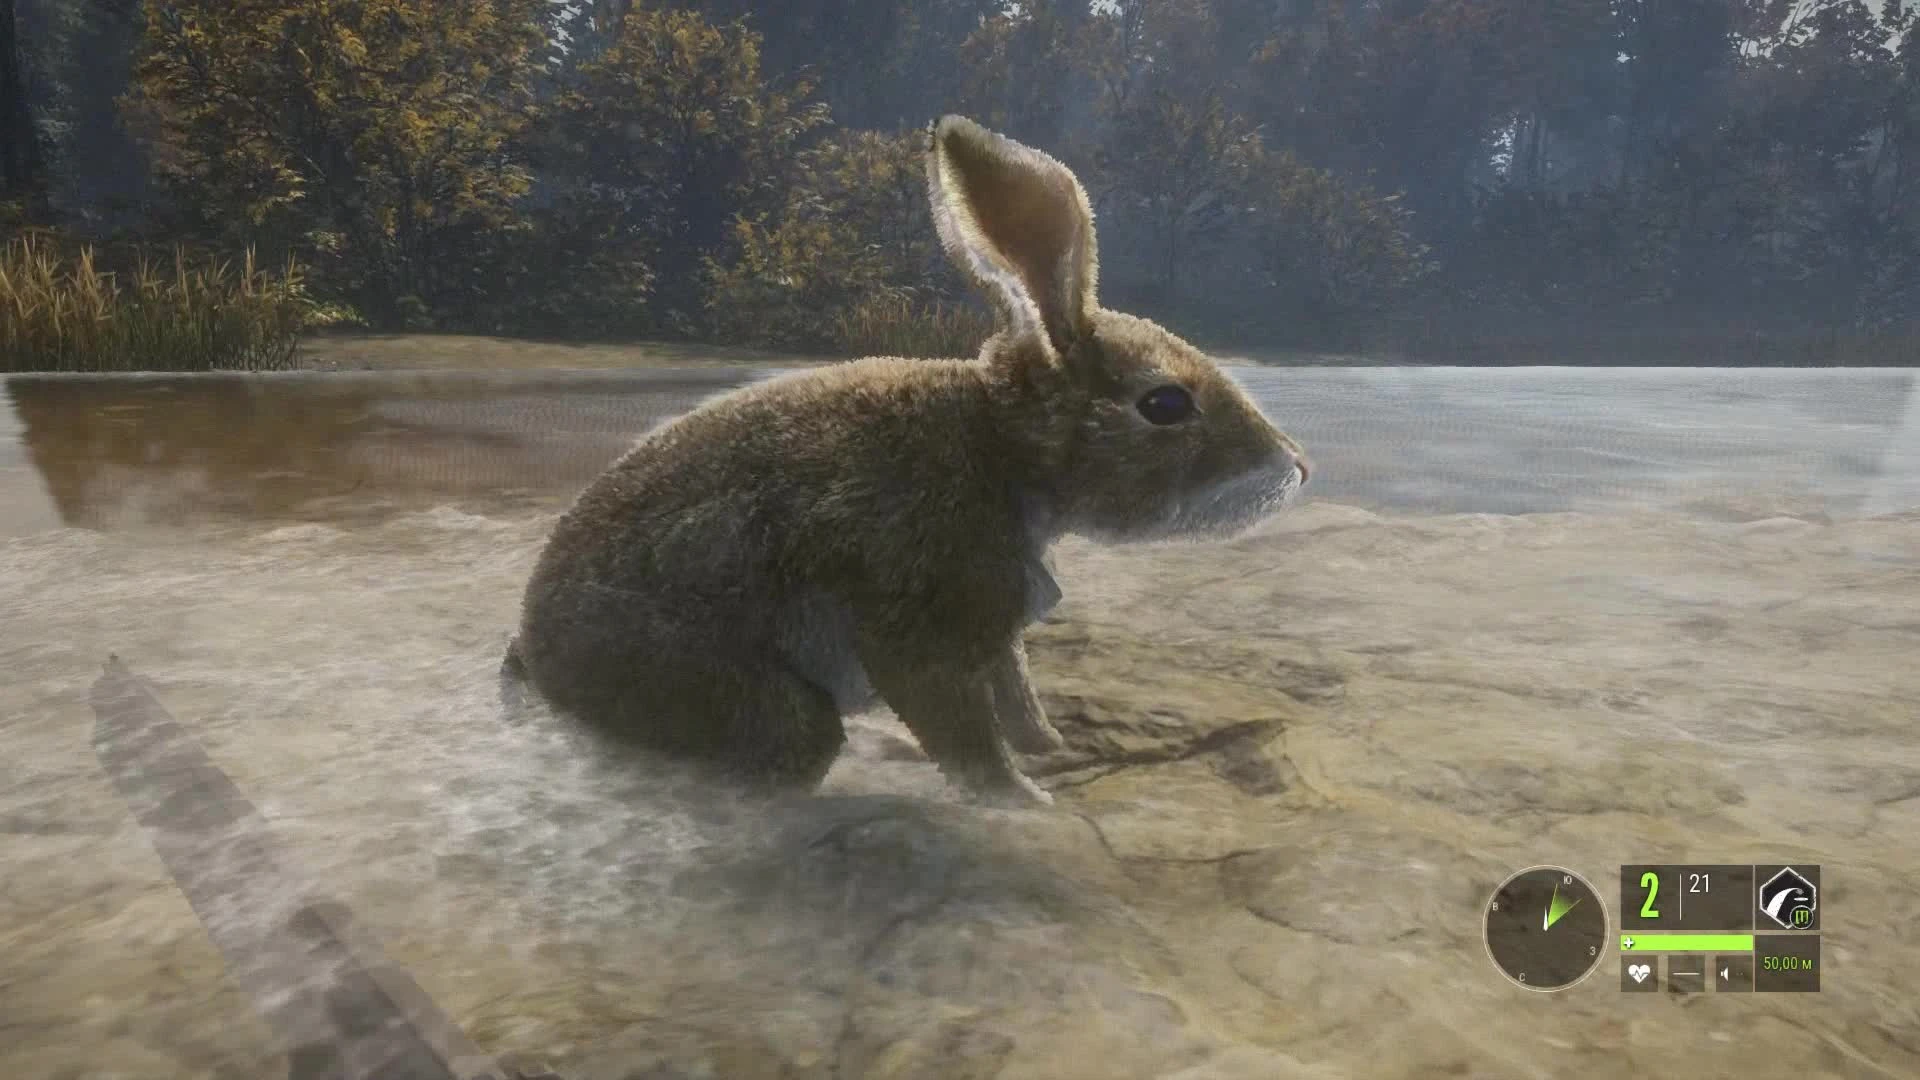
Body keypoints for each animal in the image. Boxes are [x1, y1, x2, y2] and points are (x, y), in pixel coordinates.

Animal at [504, 115, 1311, 807]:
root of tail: (538, 656)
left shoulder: (997, 634)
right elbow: (965, 736)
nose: (1296, 468)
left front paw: (1056, 750)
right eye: (1165, 404)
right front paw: (1024, 803)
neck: (1001, 449)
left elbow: (1019, 703)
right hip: (762, 708)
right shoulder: (920, 631)